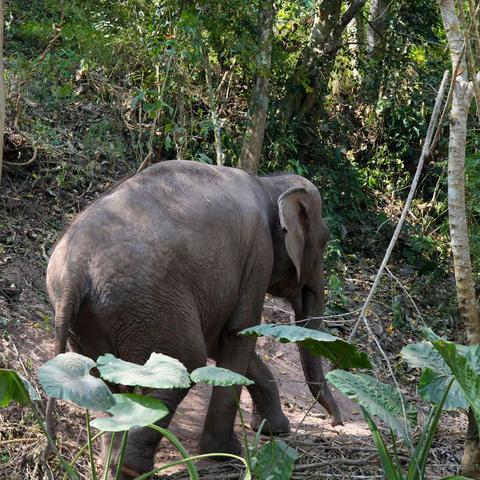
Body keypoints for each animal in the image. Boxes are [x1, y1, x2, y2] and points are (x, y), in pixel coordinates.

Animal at [46, 160, 342, 476]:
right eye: (325, 242)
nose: (335, 422)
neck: (267, 183)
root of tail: (74, 269)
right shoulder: (258, 254)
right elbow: (239, 333)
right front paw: (226, 452)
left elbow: (222, 340)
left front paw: (275, 430)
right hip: (149, 303)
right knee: (184, 361)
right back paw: (132, 469)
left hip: (94, 319)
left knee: (105, 381)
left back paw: (111, 465)